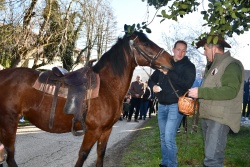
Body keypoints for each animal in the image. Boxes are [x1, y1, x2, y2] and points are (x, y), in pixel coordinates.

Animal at [0, 30, 172, 166]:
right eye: (146, 44)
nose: (171, 60)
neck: (107, 87)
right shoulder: (93, 131)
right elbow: (82, 156)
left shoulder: (106, 131)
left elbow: (100, 155)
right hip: (9, 122)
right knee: (9, 156)